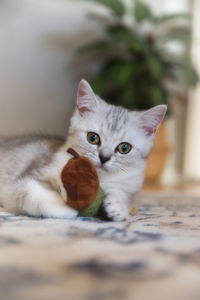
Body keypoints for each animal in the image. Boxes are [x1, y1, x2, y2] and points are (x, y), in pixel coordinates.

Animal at [0, 79, 166, 220]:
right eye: (93, 138)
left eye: (124, 148)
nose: (104, 157)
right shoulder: (29, 176)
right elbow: (30, 192)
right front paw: (64, 209)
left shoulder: (131, 183)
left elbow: (121, 192)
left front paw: (118, 206)